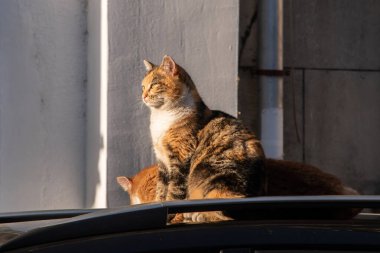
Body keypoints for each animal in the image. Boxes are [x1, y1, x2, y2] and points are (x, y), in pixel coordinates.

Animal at [141, 55, 266, 221]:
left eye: (154, 85)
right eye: (143, 87)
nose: (143, 96)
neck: (162, 117)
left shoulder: (181, 156)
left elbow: (174, 190)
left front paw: (169, 214)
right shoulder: (162, 162)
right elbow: (161, 189)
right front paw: (157, 203)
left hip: (210, 172)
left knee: (224, 210)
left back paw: (198, 214)